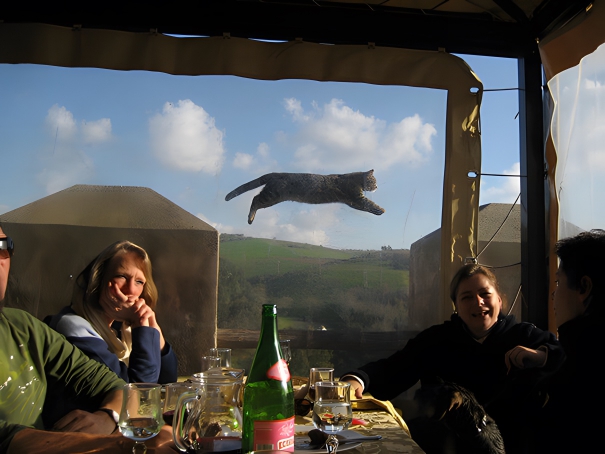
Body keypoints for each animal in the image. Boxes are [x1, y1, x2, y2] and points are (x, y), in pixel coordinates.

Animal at [225, 169, 385, 224]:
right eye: (374, 181)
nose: (377, 187)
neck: (357, 180)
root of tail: (275, 173)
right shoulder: (355, 198)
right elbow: (368, 204)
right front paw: (380, 210)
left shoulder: (353, 201)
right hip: (272, 195)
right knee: (255, 199)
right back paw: (250, 218)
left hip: (272, 196)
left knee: (256, 199)